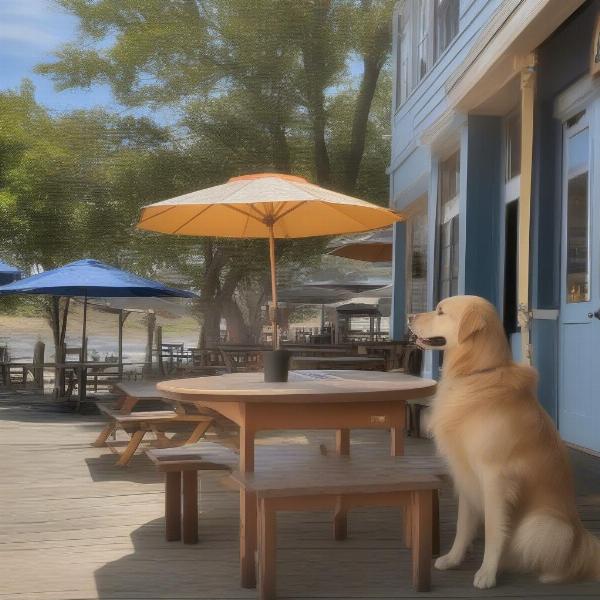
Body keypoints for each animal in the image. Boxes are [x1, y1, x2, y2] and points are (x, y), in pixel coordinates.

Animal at [408, 292, 600, 588]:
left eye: (440, 311)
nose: (409, 317)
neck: (478, 372)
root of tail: (583, 539)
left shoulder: (495, 478)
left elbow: (494, 530)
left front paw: (487, 573)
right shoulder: (465, 476)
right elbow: (463, 525)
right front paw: (453, 559)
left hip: (542, 525)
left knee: (566, 563)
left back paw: (548, 574)